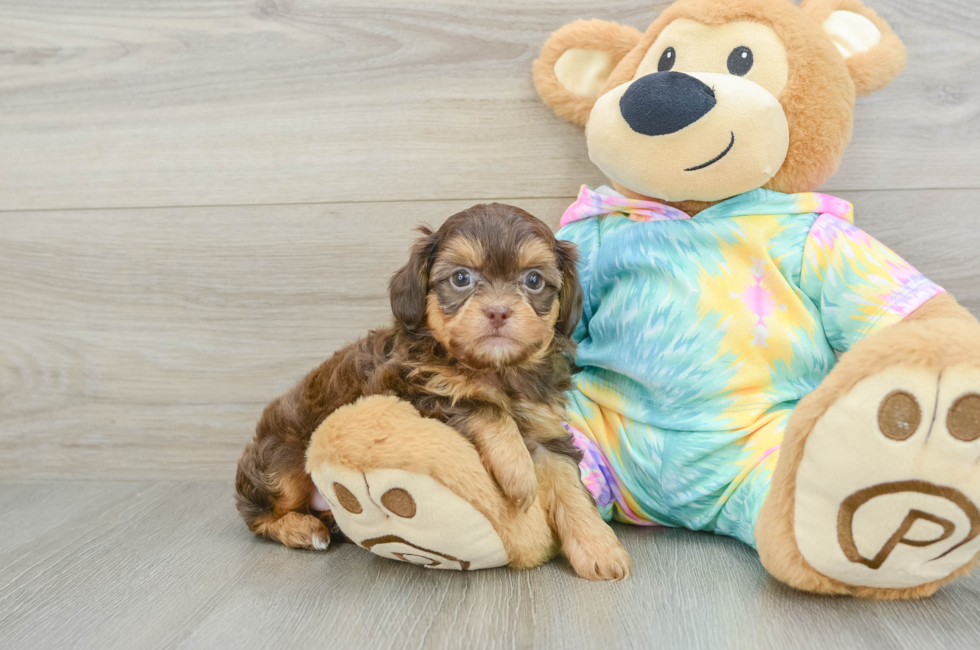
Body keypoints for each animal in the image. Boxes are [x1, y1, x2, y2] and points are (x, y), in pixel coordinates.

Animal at [234, 201, 632, 576]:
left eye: (534, 280)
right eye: (461, 277)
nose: (499, 311)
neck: (494, 370)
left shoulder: (546, 429)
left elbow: (570, 488)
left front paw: (600, 550)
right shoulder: (414, 391)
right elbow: (484, 407)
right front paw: (519, 475)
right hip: (282, 463)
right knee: (258, 514)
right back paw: (302, 529)